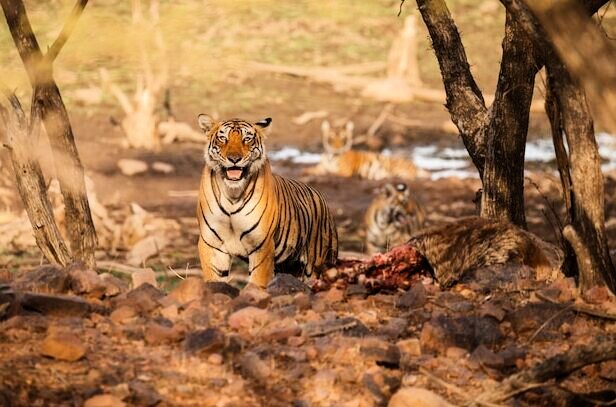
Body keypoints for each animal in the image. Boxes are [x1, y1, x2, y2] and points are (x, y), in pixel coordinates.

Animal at [197, 113, 340, 288]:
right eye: (223, 138)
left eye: (247, 138)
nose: (234, 159)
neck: (233, 194)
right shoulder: (212, 245)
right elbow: (214, 280)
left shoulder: (262, 246)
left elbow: (257, 281)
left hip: (316, 265)